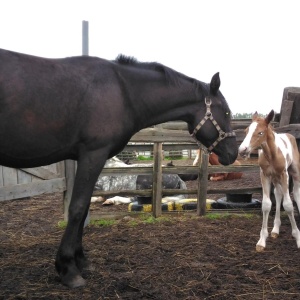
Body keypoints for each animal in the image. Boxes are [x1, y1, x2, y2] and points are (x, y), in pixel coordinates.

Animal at [0, 48, 238, 288]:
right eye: (226, 113)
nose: (233, 153)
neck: (123, 91)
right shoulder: (93, 154)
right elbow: (77, 208)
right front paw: (68, 268)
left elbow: (85, 208)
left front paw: (81, 261)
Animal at [240, 110, 300, 251]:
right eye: (246, 131)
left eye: (260, 133)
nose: (242, 150)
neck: (271, 153)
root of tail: (289, 134)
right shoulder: (265, 175)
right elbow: (267, 205)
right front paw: (262, 240)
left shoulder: (284, 174)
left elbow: (288, 205)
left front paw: (297, 236)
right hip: (275, 178)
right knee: (278, 195)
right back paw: (275, 229)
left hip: (293, 173)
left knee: (296, 193)